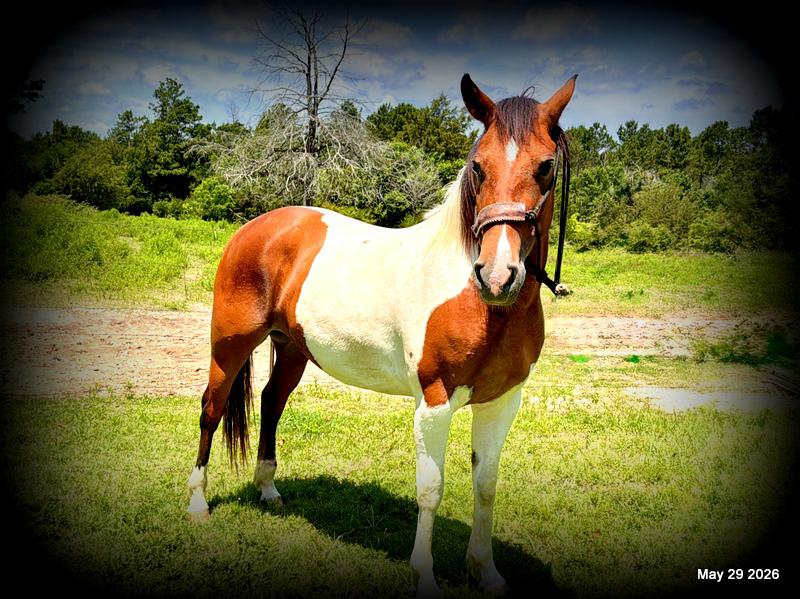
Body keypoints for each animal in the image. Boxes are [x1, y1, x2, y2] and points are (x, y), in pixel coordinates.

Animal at [186, 73, 576, 597]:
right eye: (478, 166)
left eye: (545, 167)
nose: (497, 276)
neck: (480, 304)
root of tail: (257, 226)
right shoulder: (434, 401)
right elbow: (431, 490)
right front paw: (425, 577)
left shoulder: (501, 402)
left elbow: (486, 485)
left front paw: (486, 573)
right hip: (229, 346)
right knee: (211, 410)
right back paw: (198, 504)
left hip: (292, 347)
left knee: (271, 402)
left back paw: (268, 490)